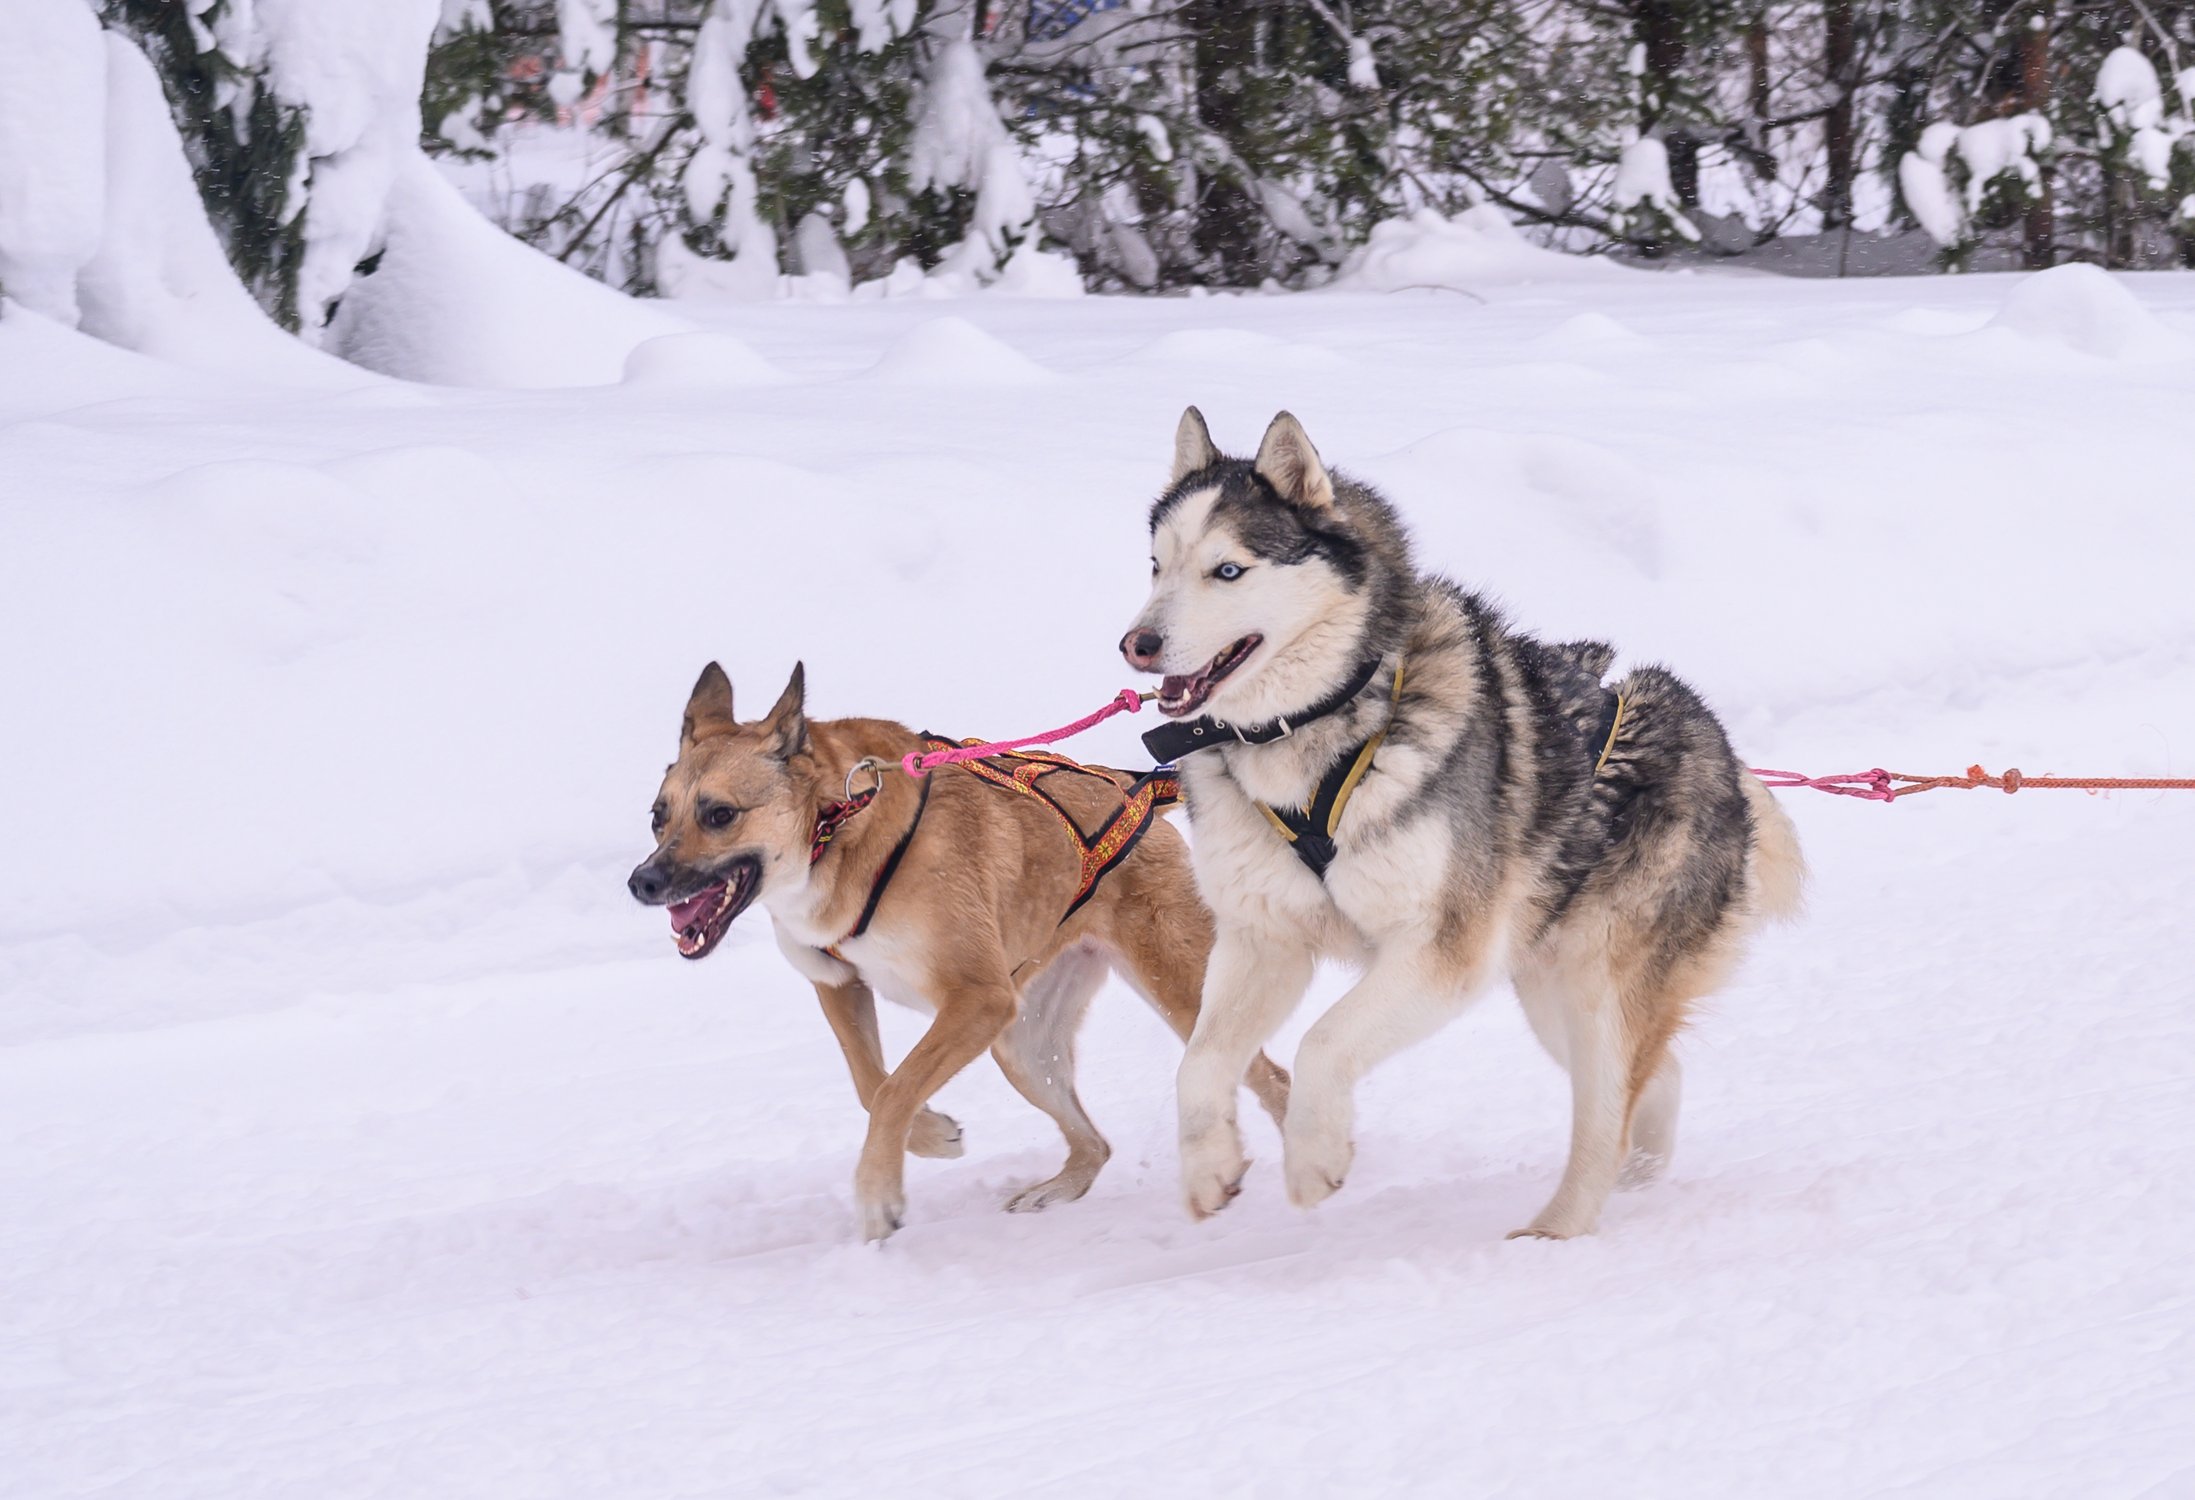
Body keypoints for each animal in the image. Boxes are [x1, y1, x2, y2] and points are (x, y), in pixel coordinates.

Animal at [627, 667, 1281, 1247]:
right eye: (658, 816)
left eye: (719, 814)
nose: (642, 882)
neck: (839, 825)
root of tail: (1132, 791)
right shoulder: (840, 985)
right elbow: (872, 1086)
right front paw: (931, 1135)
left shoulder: (977, 997)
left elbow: (894, 1090)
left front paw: (878, 1196)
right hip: (1021, 1046)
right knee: (1096, 1144)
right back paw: (1056, 1189)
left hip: (1177, 999)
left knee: (1273, 1080)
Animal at [1115, 410, 1799, 1247]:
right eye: (1156, 566)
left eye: (1228, 570)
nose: (1137, 644)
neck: (1313, 735)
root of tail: (1715, 744)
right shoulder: (1262, 943)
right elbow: (1200, 1062)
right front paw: (1209, 1166)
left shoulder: (1442, 953)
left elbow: (1323, 1042)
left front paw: (1313, 1159)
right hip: (1549, 994)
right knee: (1653, 1076)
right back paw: (1643, 1169)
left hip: (1597, 991)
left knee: (1604, 1117)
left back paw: (1554, 1232)